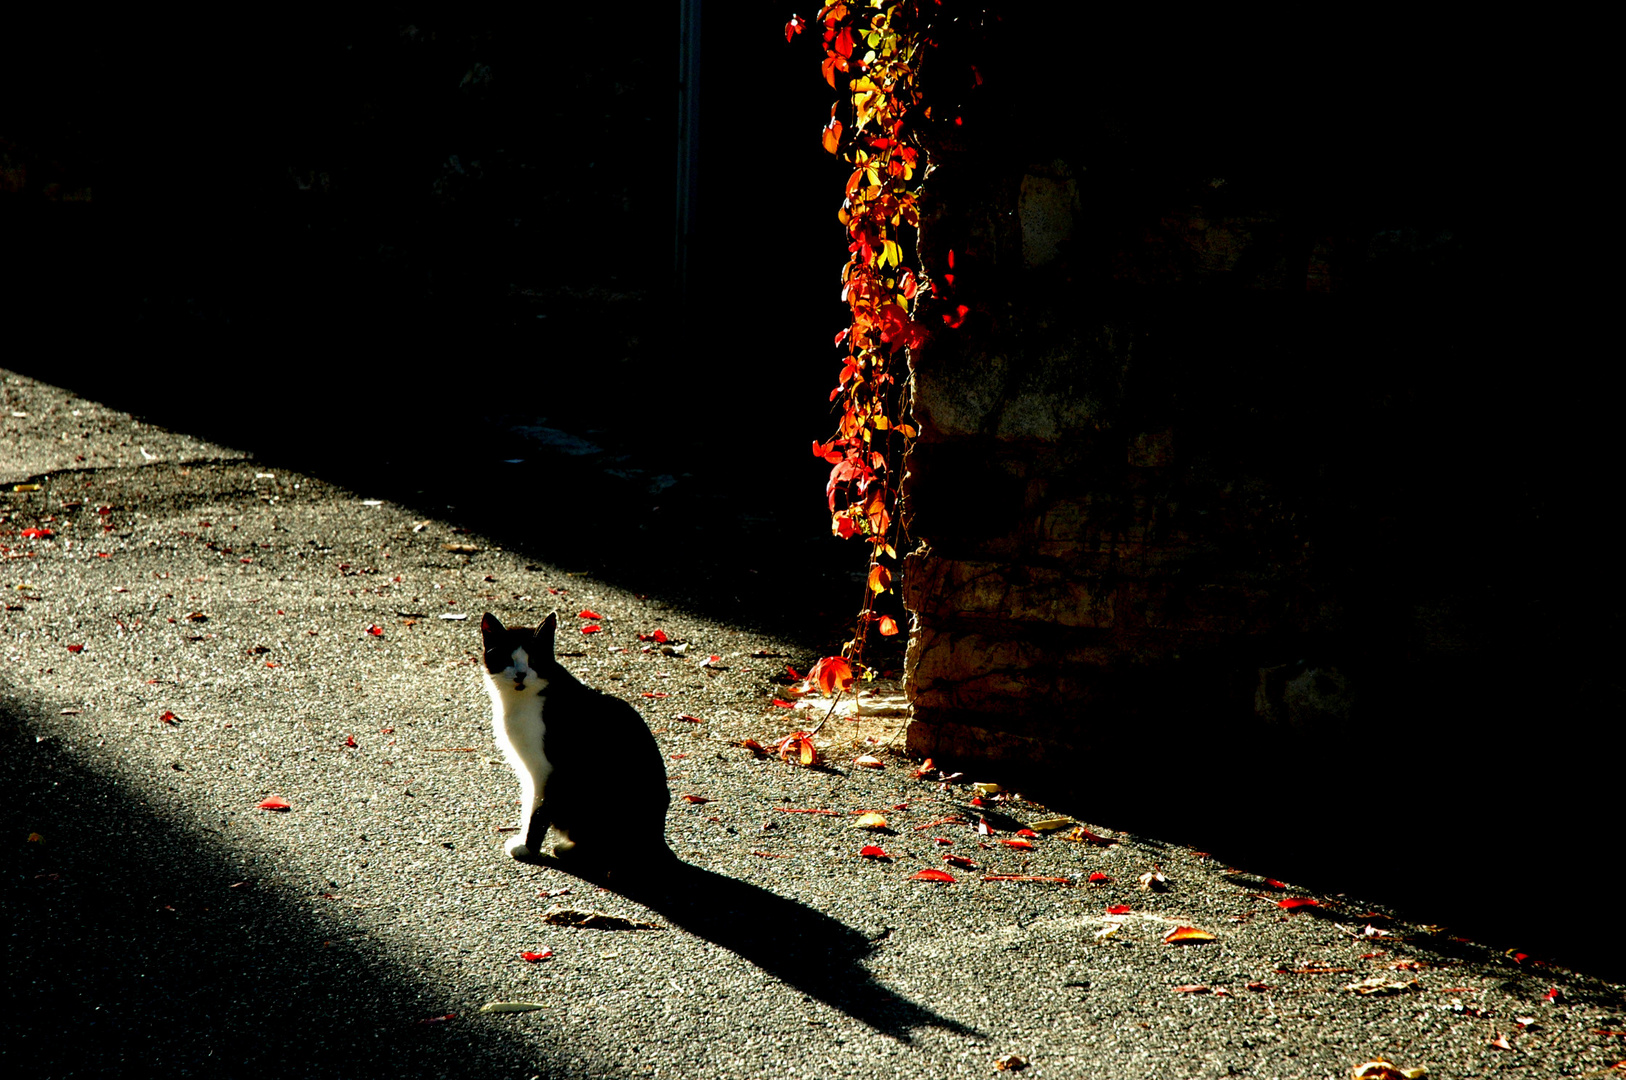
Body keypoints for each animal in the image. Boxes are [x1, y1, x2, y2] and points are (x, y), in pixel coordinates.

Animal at [478, 611, 669, 871]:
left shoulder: (551, 769)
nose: (520, 674)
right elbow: (529, 803)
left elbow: (539, 810)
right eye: (507, 658)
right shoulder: (530, 772)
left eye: (533, 659)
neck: (521, 702)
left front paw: (528, 848)